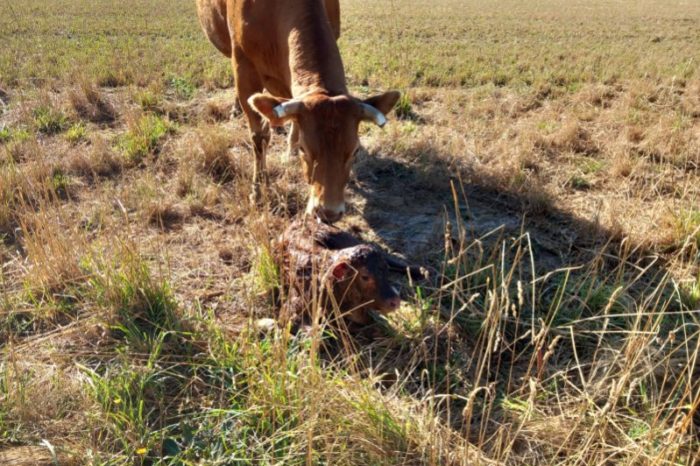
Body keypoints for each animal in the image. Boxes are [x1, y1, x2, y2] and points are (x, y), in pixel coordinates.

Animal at [196, 0, 400, 222]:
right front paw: (258, 191)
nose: (329, 212)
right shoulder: (244, 66)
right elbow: (259, 136)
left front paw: (289, 150)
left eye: (355, 150)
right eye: (305, 149)